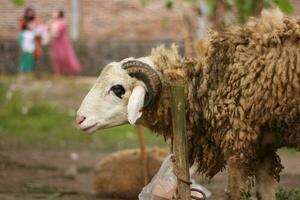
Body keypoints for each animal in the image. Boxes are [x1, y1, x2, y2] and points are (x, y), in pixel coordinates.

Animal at [77, 9, 300, 200]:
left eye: (117, 89)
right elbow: (265, 193)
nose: (79, 119)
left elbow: (235, 192)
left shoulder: (238, 145)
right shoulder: (264, 149)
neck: (206, 83)